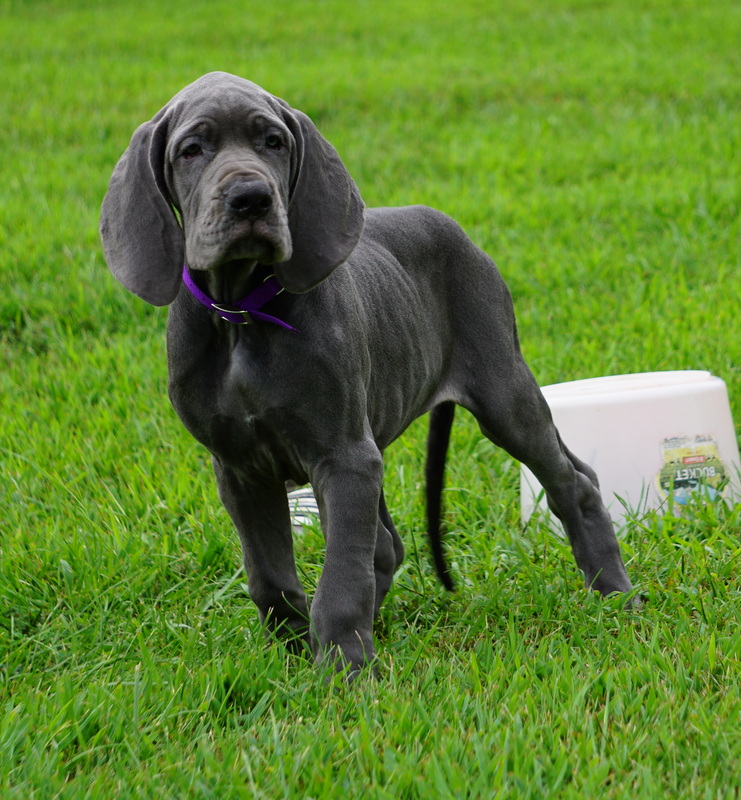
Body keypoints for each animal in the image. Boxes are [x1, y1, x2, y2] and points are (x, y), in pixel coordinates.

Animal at [97, 72, 632, 676]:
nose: (251, 197)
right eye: (192, 149)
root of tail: (453, 228)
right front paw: (292, 651)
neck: (240, 314)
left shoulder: (342, 456)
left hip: (502, 394)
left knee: (572, 483)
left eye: (273, 142)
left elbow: (341, 575)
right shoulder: (240, 467)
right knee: (389, 545)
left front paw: (344, 669)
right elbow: (269, 574)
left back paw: (615, 594)